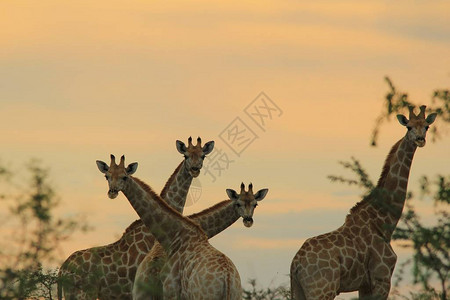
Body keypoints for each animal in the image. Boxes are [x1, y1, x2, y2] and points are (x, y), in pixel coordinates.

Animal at [96, 155, 243, 300]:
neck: (174, 235)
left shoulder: (170, 291)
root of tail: (227, 278)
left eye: (124, 177)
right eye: (107, 176)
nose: (112, 192)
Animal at [290, 106, 438, 300]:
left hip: (298, 290)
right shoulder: (381, 279)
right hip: (322, 290)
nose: (420, 139)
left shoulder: (364, 285)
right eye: (409, 127)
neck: (383, 222)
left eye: (427, 126)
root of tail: (296, 264)